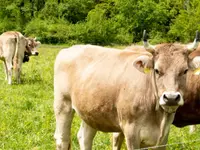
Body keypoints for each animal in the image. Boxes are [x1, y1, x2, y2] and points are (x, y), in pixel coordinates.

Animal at [54, 30, 200, 150]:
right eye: (157, 70)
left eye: (185, 70)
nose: (171, 98)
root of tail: (71, 49)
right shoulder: (131, 132)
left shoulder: (163, 136)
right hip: (63, 105)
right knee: (62, 140)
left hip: (90, 112)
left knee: (85, 138)